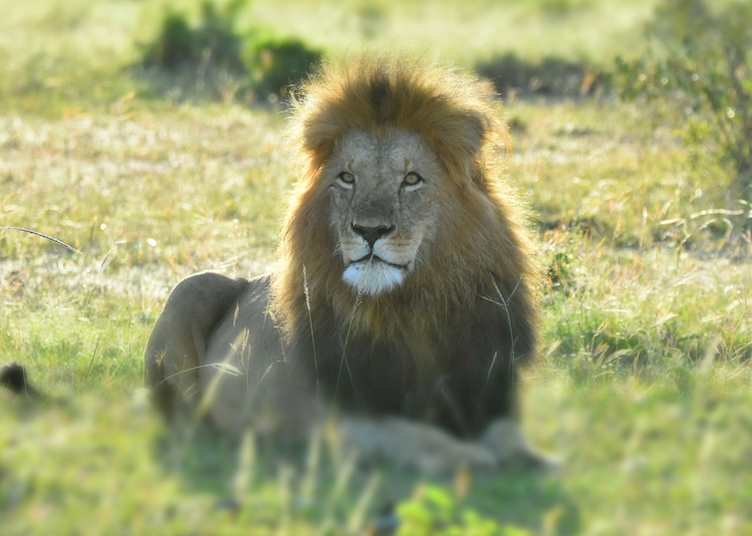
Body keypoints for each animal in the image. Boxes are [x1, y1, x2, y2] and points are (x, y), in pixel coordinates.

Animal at [145, 58, 548, 473]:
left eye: (411, 179)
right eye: (347, 178)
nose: (370, 230)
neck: (414, 309)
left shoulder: (487, 390)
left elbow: (507, 433)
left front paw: (534, 457)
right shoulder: (340, 418)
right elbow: (410, 436)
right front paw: (468, 457)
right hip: (190, 288)